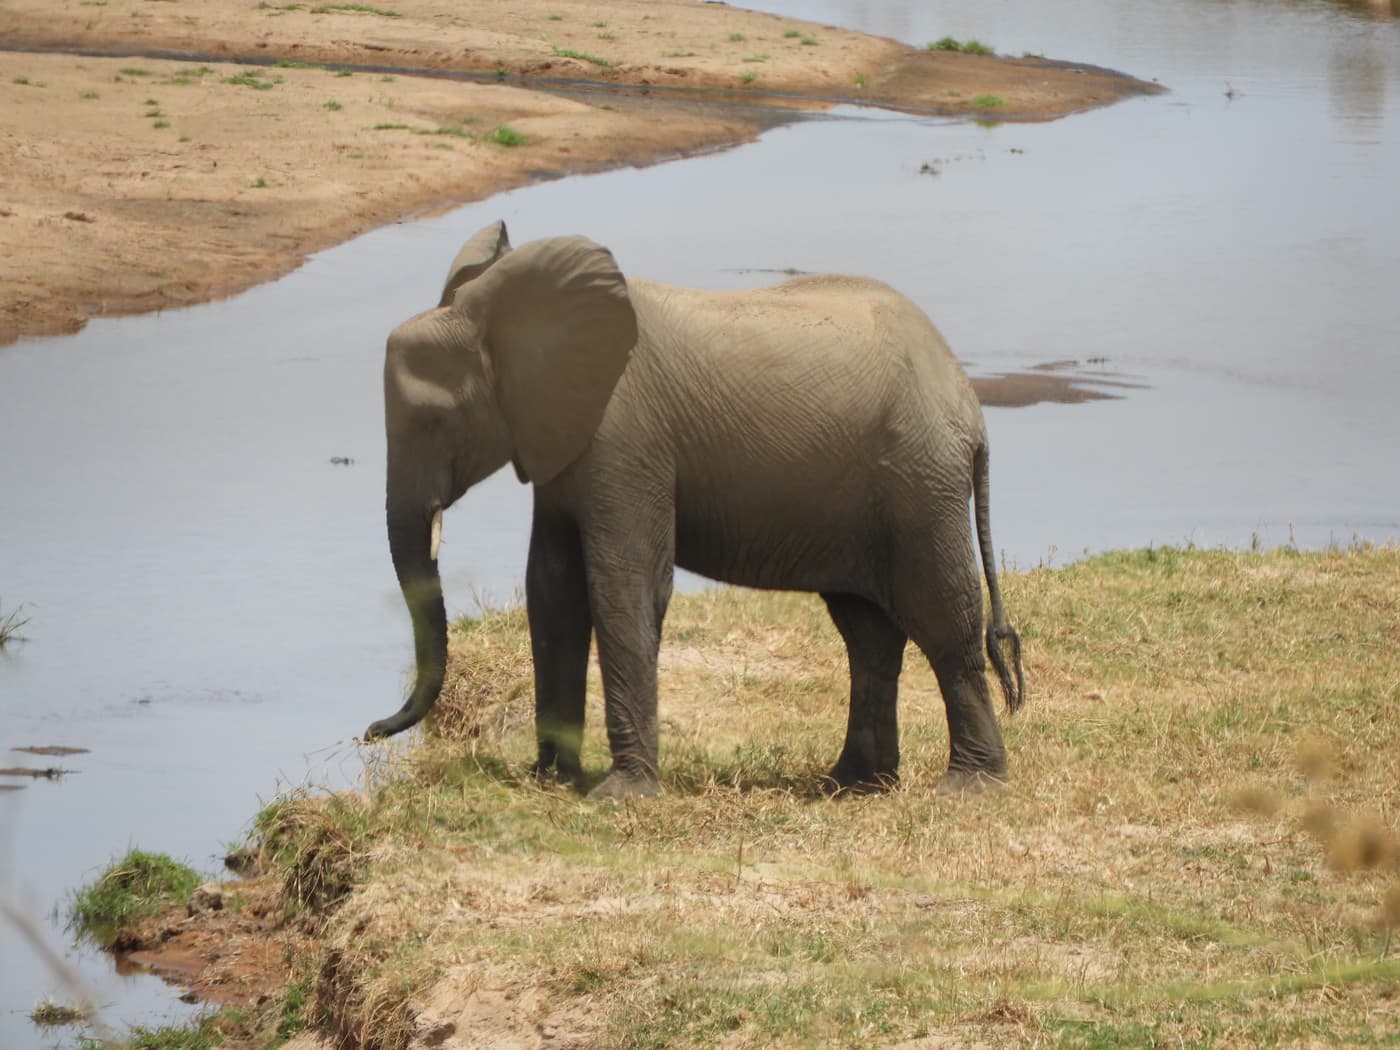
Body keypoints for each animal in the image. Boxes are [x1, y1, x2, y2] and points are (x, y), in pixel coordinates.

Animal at [366, 220, 1024, 799]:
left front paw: (620, 795)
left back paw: (968, 787)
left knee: (943, 622)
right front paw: (552, 781)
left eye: (435, 421)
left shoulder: (625, 437)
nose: (370, 732)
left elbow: (624, 586)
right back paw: (852, 785)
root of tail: (969, 406)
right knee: (869, 635)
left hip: (920, 482)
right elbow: (553, 589)